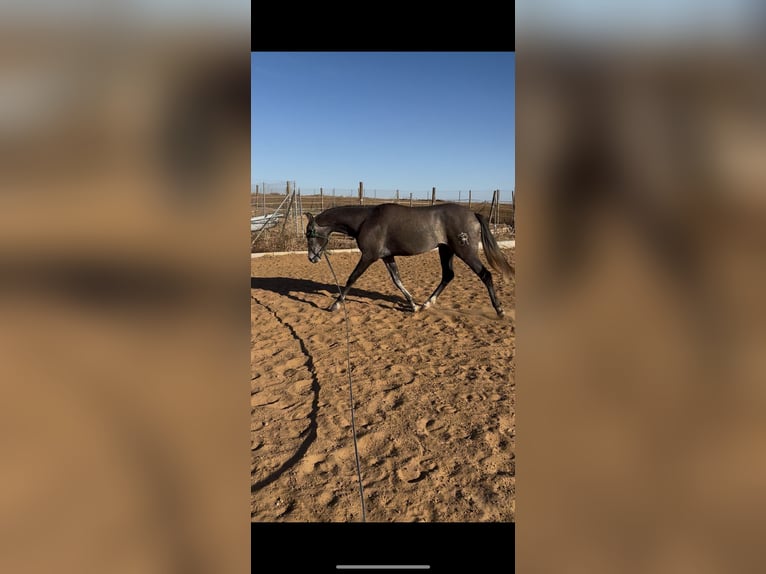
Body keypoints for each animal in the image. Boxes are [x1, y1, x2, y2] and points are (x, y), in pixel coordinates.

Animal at [304, 202, 514, 317]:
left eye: (309, 233)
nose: (312, 258)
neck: (366, 220)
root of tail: (473, 215)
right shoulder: (387, 256)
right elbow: (397, 280)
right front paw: (413, 305)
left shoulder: (369, 256)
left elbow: (352, 278)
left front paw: (335, 304)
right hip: (446, 250)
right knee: (448, 275)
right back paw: (426, 304)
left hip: (466, 252)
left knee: (485, 275)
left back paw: (499, 310)